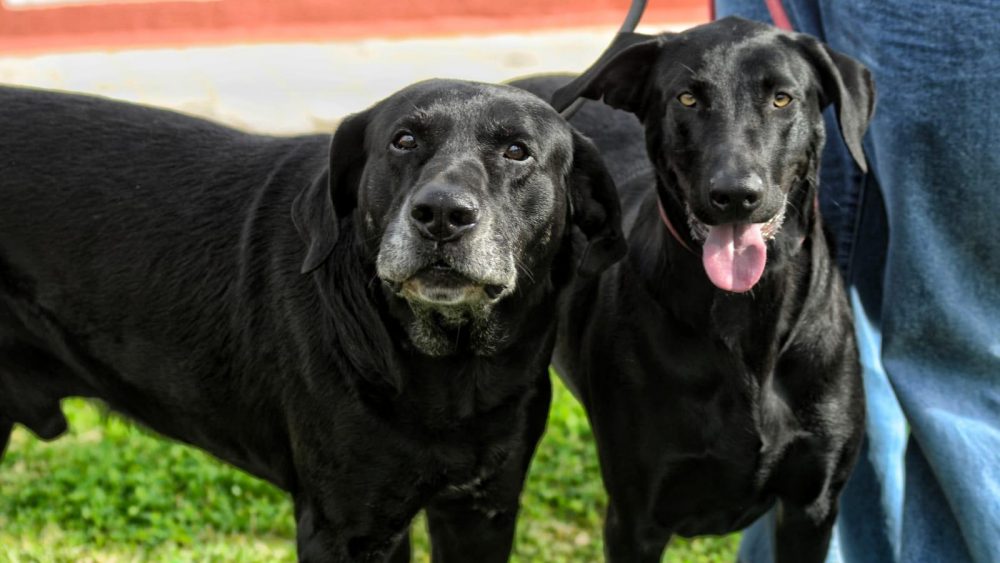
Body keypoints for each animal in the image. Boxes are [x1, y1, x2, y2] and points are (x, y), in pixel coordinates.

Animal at [512, 15, 872, 560]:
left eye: (781, 98)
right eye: (687, 99)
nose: (735, 195)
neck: (748, 313)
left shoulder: (811, 508)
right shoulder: (635, 520)